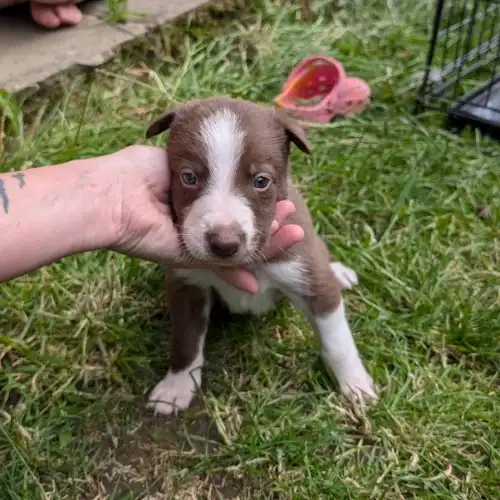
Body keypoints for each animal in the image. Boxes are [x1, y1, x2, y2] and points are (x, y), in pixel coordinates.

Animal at [145, 96, 376, 414]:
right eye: (189, 177)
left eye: (261, 181)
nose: (224, 243)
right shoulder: (187, 284)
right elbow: (186, 339)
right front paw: (176, 386)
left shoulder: (308, 274)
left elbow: (337, 341)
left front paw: (355, 383)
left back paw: (339, 272)